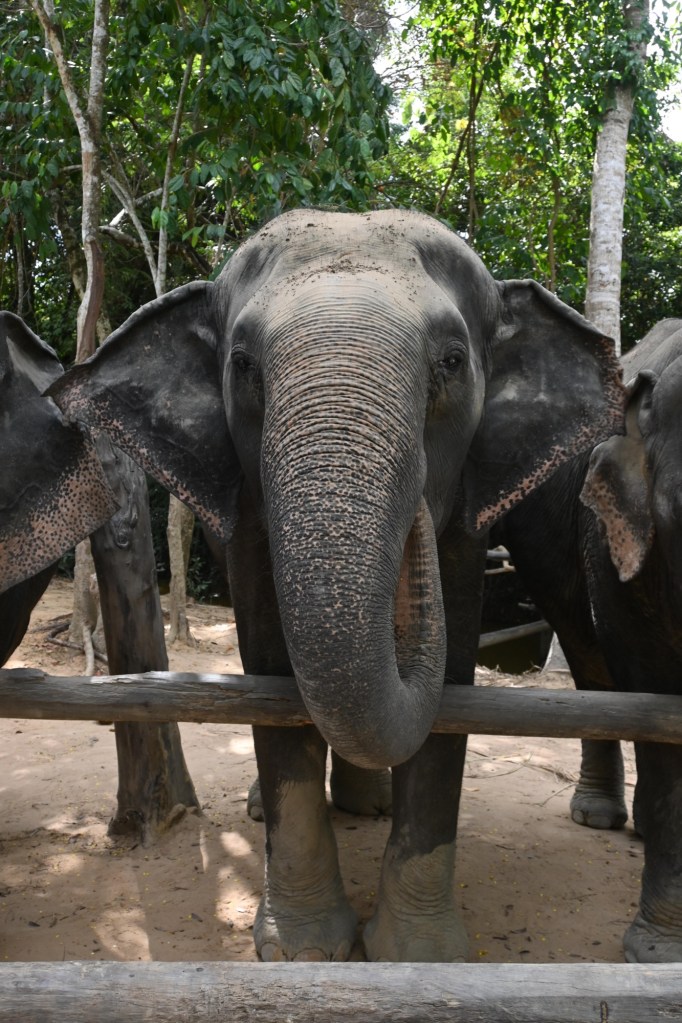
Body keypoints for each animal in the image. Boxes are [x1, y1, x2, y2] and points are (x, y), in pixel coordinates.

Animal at [48, 207, 624, 961]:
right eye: (243, 365)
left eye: (451, 361)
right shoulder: (246, 512)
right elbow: (270, 670)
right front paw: (303, 948)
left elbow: (452, 680)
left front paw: (418, 953)